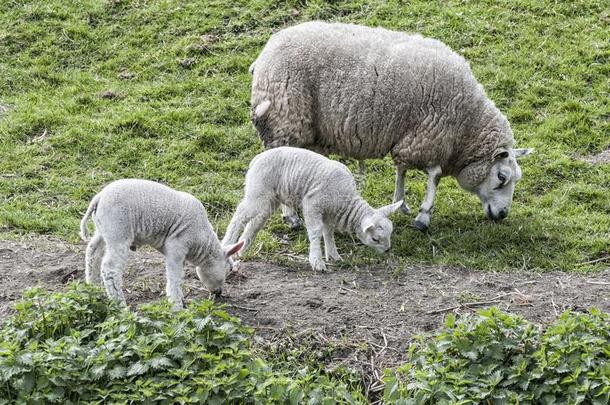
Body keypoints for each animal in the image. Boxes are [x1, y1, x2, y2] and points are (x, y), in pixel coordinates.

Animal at [78, 178, 242, 308]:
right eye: (229, 269)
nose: (219, 293)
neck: (203, 242)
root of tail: (98, 197)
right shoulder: (177, 245)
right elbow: (175, 278)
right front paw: (177, 305)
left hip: (103, 229)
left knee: (92, 252)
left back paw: (93, 287)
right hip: (118, 231)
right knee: (110, 269)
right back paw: (120, 305)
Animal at [221, 146, 402, 272]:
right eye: (375, 239)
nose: (387, 250)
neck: (344, 198)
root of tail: (257, 158)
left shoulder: (330, 213)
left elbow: (328, 232)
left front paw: (334, 255)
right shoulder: (312, 204)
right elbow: (316, 232)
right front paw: (317, 261)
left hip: (270, 198)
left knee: (255, 223)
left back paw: (241, 250)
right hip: (258, 191)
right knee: (240, 215)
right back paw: (227, 243)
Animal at [249, 21, 528, 230]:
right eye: (502, 177)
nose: (503, 214)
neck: (466, 126)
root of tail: (265, 53)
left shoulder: (411, 136)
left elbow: (402, 169)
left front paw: (401, 203)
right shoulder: (429, 134)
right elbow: (435, 175)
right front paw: (423, 216)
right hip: (286, 117)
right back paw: (291, 217)